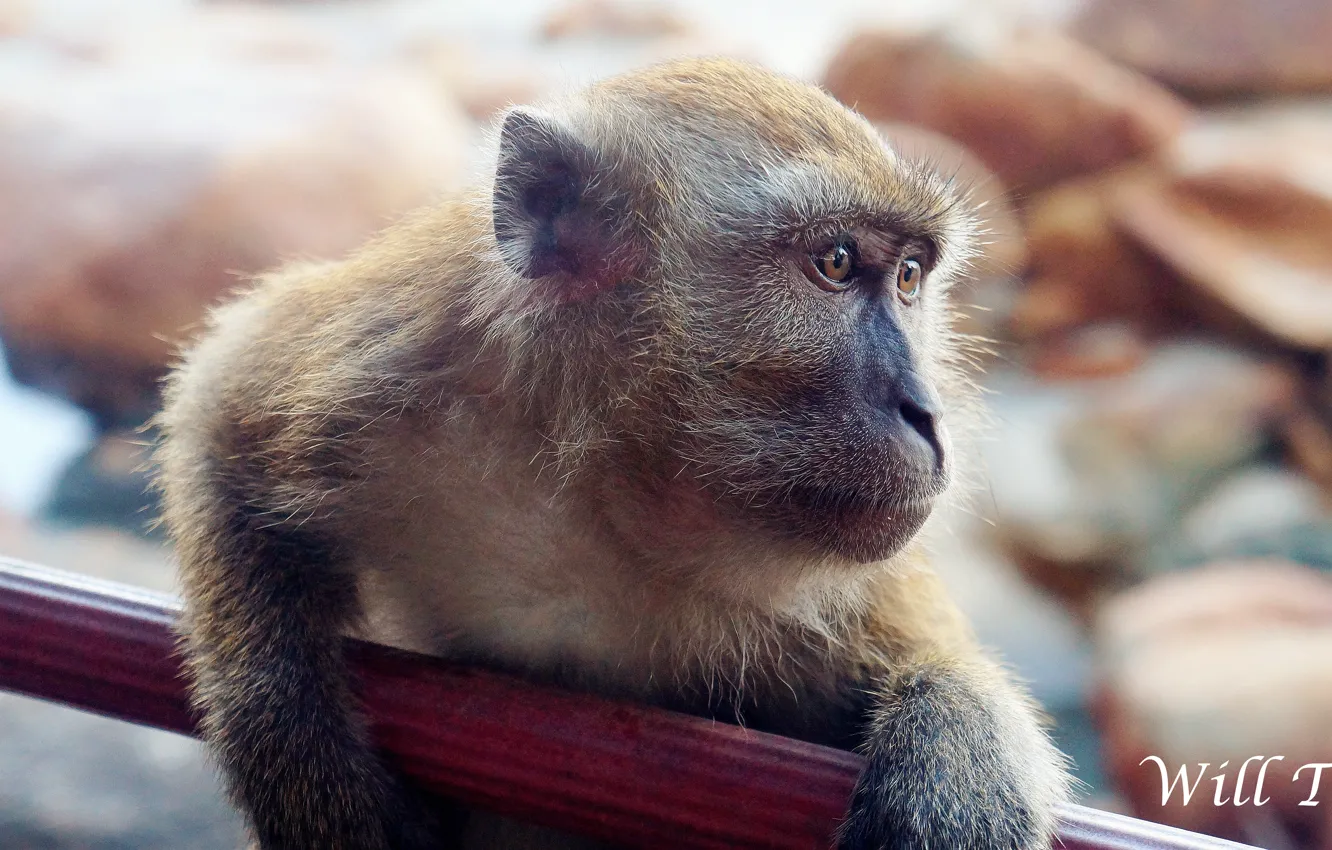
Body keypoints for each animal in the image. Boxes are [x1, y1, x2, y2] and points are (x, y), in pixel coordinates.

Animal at [154, 57, 1072, 850]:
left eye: (911, 277)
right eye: (836, 263)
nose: (927, 413)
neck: (601, 492)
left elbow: (934, 662)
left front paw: (960, 747)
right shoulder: (392, 359)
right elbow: (221, 411)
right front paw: (287, 729)